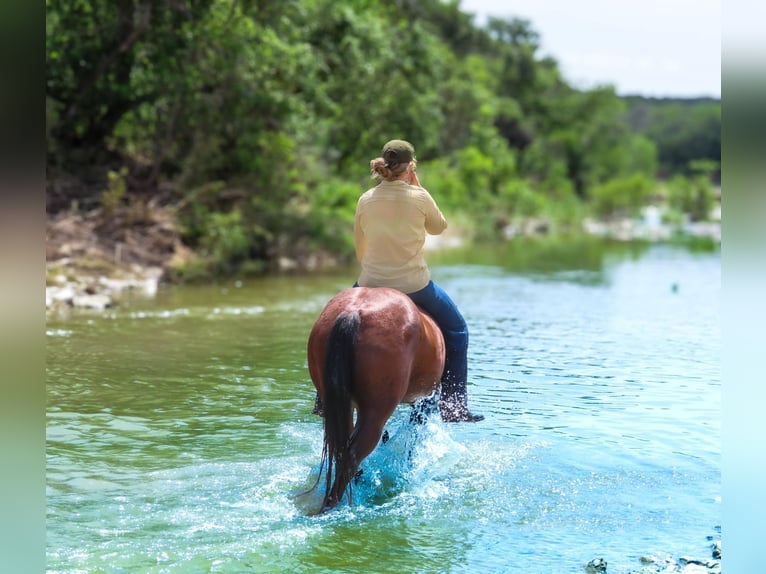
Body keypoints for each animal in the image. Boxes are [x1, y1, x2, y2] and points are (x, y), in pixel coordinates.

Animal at [306, 287, 445, 513]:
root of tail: (352, 313)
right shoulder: (426, 400)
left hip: (340, 405)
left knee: (342, 448)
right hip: (376, 412)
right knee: (353, 455)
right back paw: (336, 503)